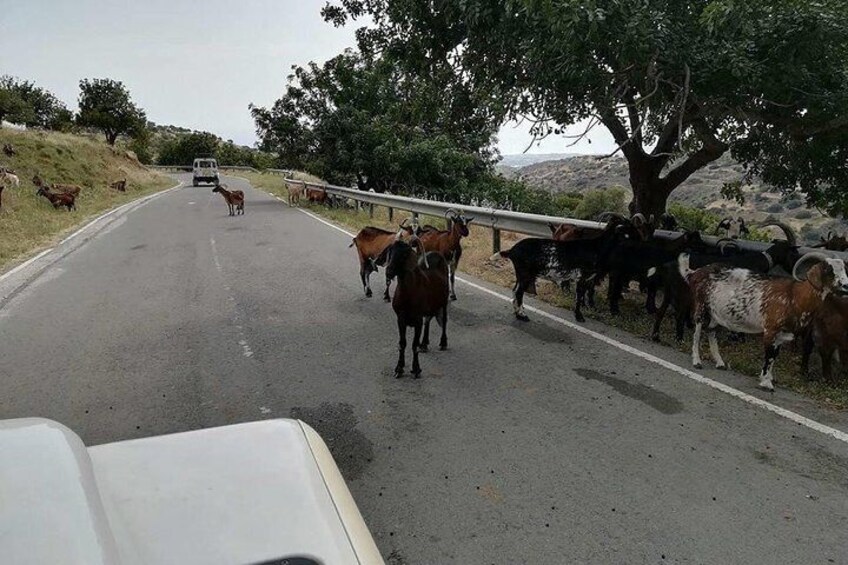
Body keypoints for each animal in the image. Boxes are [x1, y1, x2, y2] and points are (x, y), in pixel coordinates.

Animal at [384, 236, 450, 376]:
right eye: (390, 251)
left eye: (404, 254)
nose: (389, 271)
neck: (407, 294)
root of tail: (437, 254)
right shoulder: (401, 319)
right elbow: (402, 343)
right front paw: (399, 368)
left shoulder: (417, 320)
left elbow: (414, 345)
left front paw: (416, 369)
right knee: (428, 320)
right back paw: (424, 344)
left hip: (444, 302)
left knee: (444, 321)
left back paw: (443, 343)